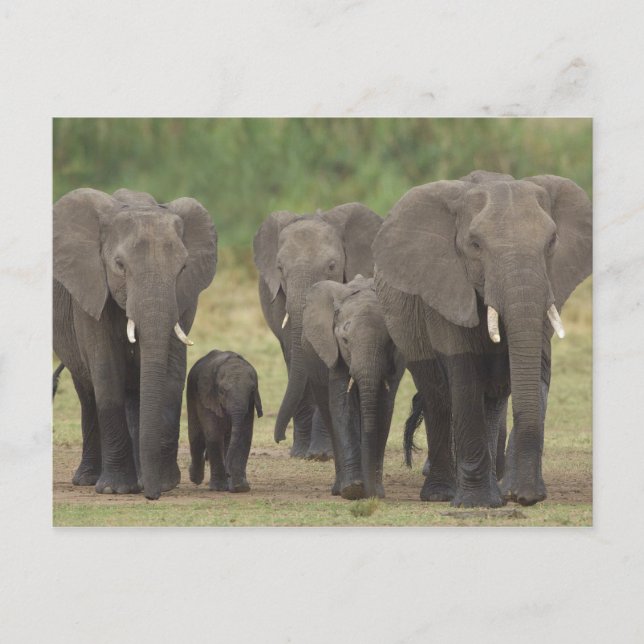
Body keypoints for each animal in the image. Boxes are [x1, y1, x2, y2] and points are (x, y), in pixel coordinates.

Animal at [53, 188, 217, 500]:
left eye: (183, 268)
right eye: (119, 266)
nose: (152, 496)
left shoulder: (184, 297)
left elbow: (171, 374)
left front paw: (164, 483)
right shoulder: (91, 288)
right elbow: (106, 372)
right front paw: (115, 489)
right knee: (87, 391)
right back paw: (89, 480)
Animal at [187, 350, 263, 493]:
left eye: (252, 391)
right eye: (221, 391)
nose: (228, 473)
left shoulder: (249, 405)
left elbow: (244, 436)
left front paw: (240, 488)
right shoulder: (208, 397)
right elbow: (214, 435)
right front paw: (219, 488)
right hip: (192, 395)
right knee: (196, 435)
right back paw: (195, 479)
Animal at [253, 203, 383, 460]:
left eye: (331, 267)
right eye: (280, 268)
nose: (279, 438)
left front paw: (323, 454)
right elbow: (297, 355)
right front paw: (302, 454)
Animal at [301, 275, 405, 498]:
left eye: (389, 342)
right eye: (345, 341)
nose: (371, 493)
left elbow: (384, 408)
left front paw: (375, 491)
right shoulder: (333, 351)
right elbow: (343, 406)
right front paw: (353, 490)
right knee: (329, 412)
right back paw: (339, 488)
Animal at [373, 171, 591, 507]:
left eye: (552, 241)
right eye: (475, 245)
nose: (526, 498)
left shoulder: (550, 283)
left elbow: (536, 368)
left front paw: (517, 495)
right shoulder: (446, 285)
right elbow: (464, 374)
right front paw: (475, 504)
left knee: (492, 399)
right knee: (437, 395)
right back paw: (441, 494)